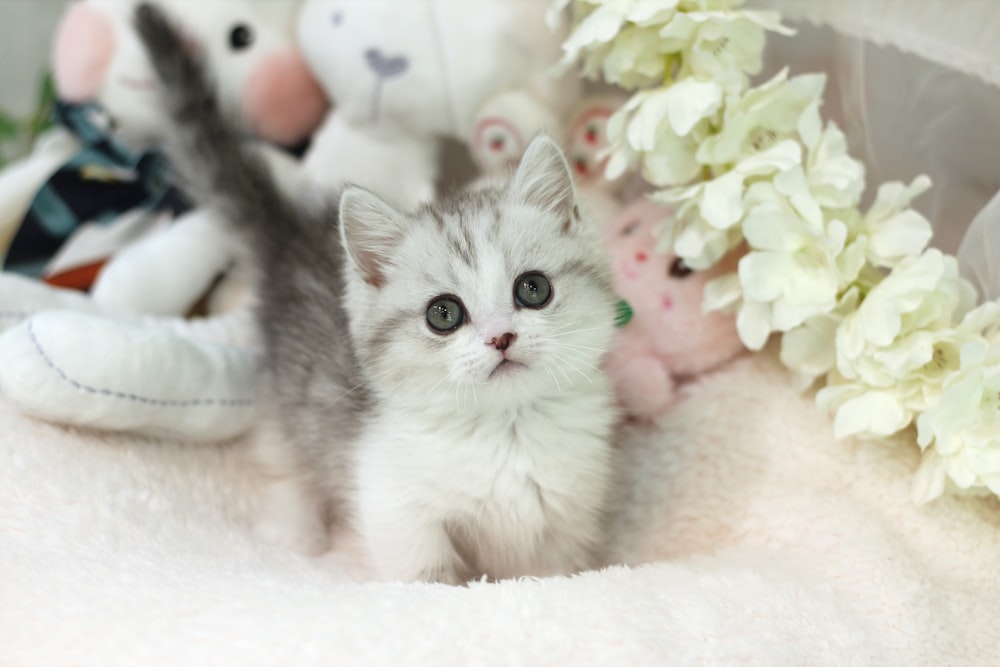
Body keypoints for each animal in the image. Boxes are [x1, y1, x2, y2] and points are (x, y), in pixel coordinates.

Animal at [137, 1, 620, 584]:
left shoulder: (565, 518)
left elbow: (551, 575)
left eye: (533, 289)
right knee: (284, 456)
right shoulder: (396, 504)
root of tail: (293, 236)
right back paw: (295, 528)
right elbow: (424, 574)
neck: (507, 430)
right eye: (443, 314)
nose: (501, 337)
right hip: (286, 392)